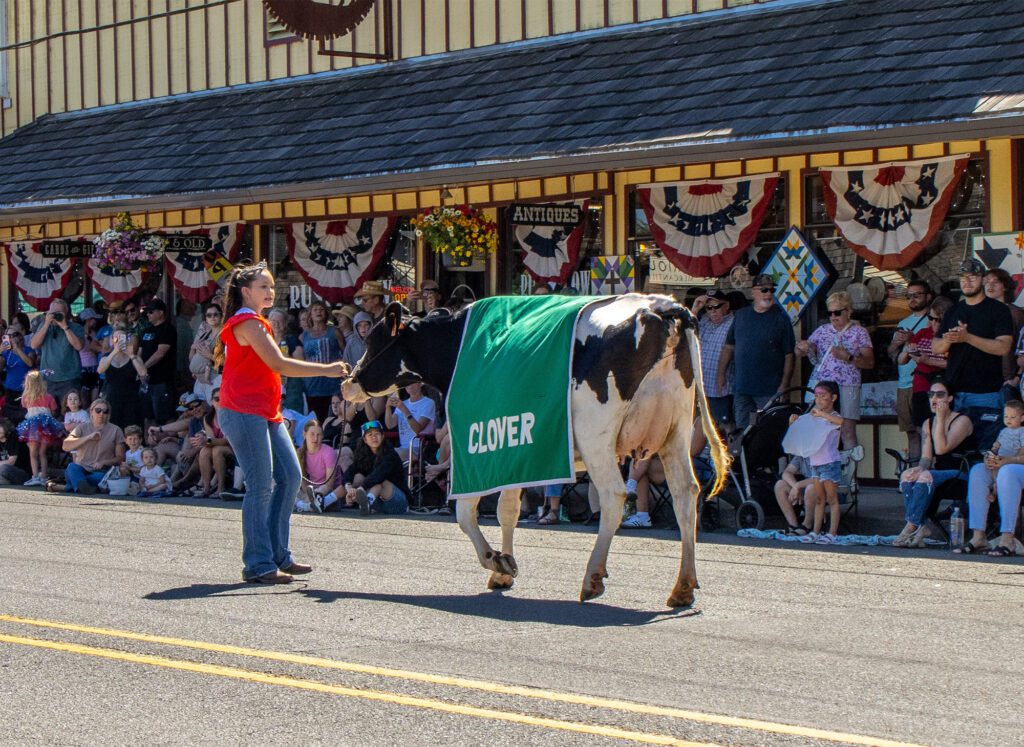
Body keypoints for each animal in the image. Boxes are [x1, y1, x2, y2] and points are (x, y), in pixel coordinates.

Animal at [342, 291, 729, 606]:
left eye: (373, 340)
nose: (348, 382)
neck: (458, 348)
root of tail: (662, 307)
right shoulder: (515, 450)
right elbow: (508, 510)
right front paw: (504, 568)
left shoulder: (472, 448)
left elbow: (465, 514)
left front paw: (495, 559)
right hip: (675, 432)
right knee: (685, 495)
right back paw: (682, 587)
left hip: (597, 437)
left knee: (614, 496)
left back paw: (592, 578)